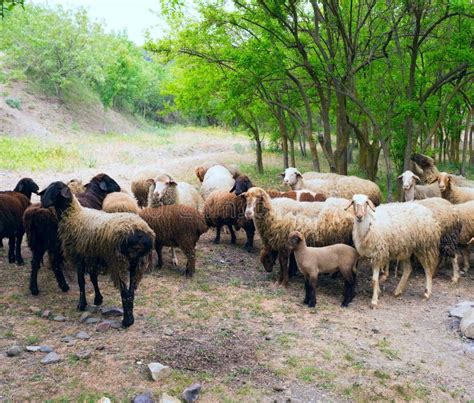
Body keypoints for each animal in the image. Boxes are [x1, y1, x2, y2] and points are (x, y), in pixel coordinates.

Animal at [39, 183, 154, 328]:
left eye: (56, 190)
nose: (42, 202)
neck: (74, 215)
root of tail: (139, 231)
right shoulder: (92, 257)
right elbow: (93, 279)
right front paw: (98, 299)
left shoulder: (79, 257)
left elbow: (81, 282)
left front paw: (82, 305)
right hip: (137, 263)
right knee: (131, 291)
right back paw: (130, 318)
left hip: (118, 261)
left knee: (125, 292)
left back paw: (127, 321)